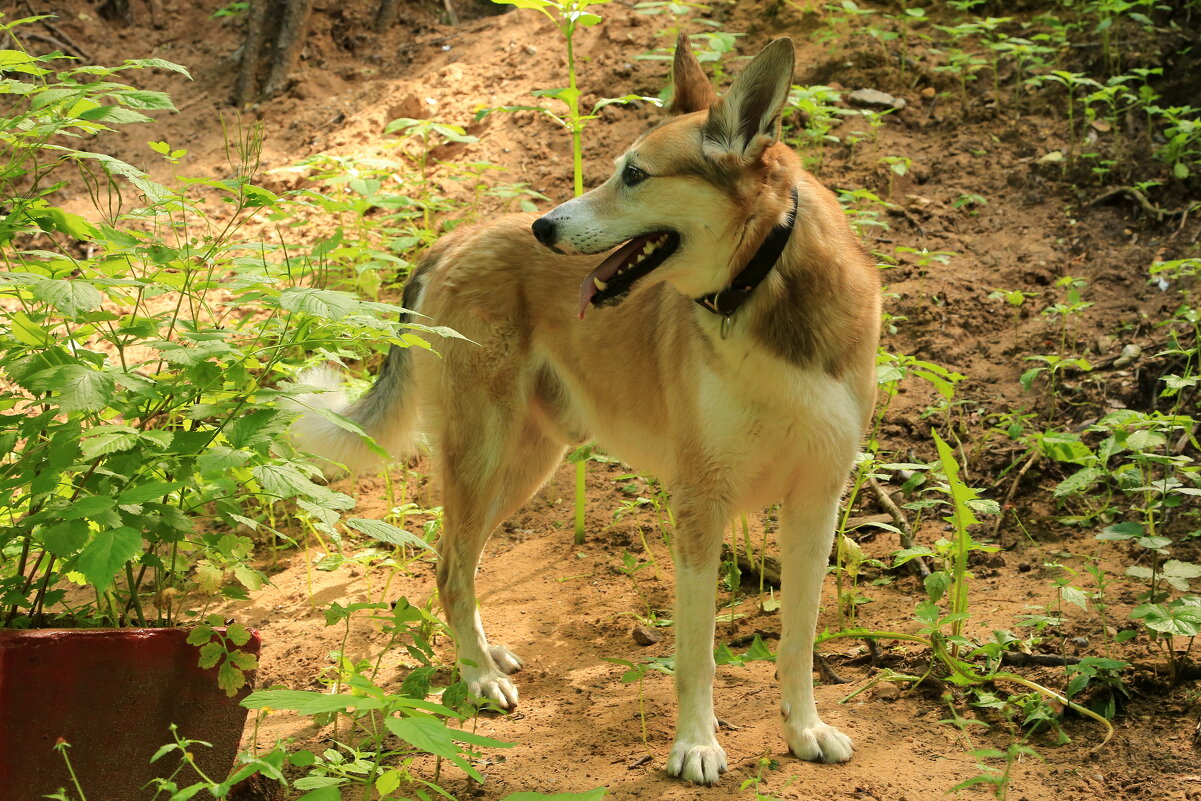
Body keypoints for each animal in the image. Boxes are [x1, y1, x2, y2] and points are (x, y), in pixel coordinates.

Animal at [294, 36, 879, 782]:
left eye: (634, 175)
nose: (544, 226)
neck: (759, 293)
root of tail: (456, 240)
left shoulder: (816, 502)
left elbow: (797, 639)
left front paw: (804, 729)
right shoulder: (699, 504)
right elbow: (696, 652)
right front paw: (695, 745)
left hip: (525, 463)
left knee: (457, 562)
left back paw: (482, 653)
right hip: (484, 454)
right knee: (451, 566)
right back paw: (478, 677)